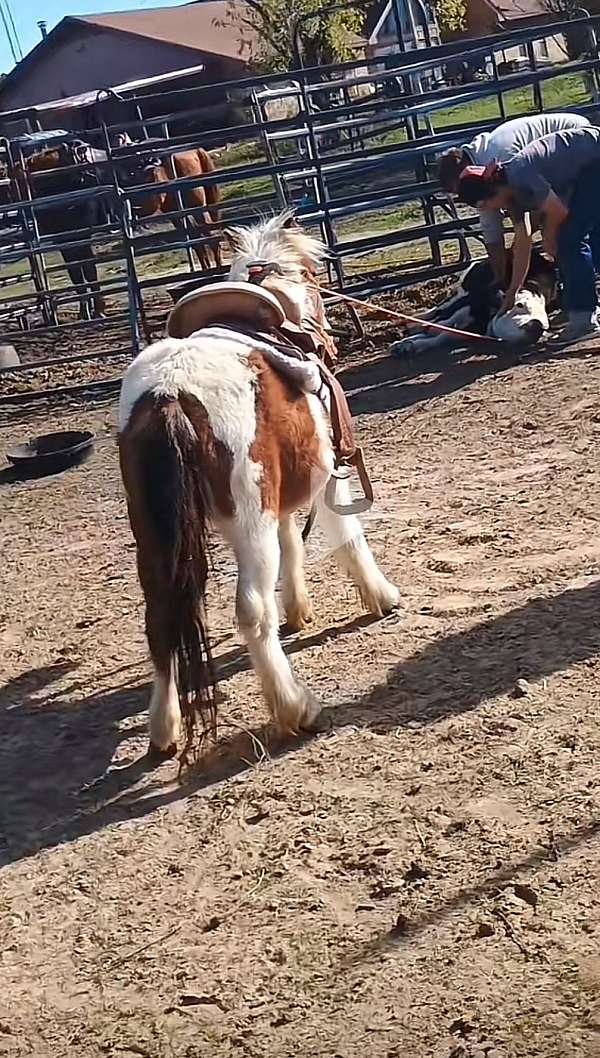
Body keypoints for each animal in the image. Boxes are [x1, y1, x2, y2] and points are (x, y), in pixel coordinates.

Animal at [117, 210, 400, 757]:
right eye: (311, 276)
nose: (326, 337)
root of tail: (170, 393)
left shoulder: (282, 498)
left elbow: (294, 543)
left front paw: (299, 608)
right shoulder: (327, 474)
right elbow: (349, 538)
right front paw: (381, 596)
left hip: (155, 537)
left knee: (159, 616)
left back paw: (164, 728)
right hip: (249, 524)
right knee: (251, 610)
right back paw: (295, 707)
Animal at [389, 248, 558, 359]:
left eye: (545, 325)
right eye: (520, 305)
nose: (536, 325)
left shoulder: (475, 326)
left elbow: (444, 336)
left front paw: (404, 347)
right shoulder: (472, 302)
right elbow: (442, 324)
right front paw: (402, 341)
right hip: (465, 286)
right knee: (442, 307)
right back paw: (412, 322)